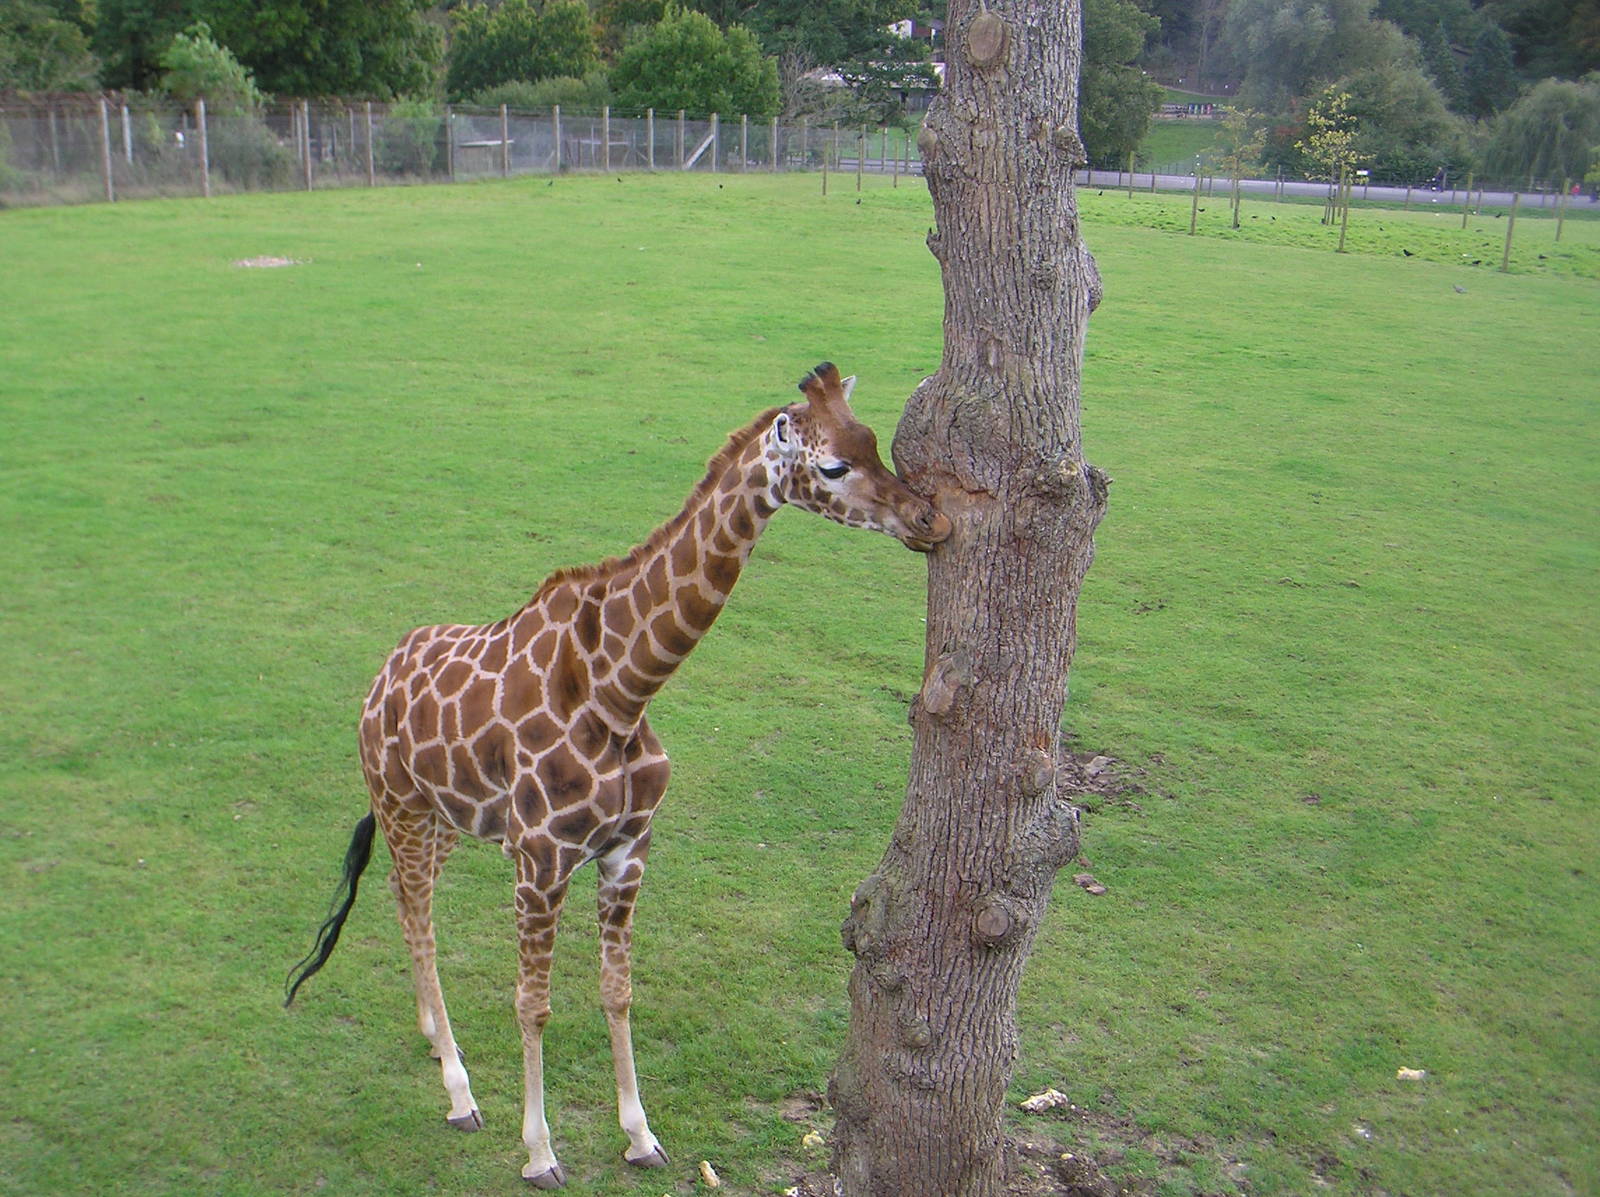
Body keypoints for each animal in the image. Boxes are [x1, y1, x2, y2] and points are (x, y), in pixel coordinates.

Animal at [285, 362, 951, 1188]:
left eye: (875, 442)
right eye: (833, 465)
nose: (930, 518)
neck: (623, 688)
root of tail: (377, 682)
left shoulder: (628, 847)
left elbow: (617, 990)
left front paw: (640, 1134)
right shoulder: (540, 858)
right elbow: (533, 1003)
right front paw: (539, 1150)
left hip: (443, 817)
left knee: (406, 902)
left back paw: (438, 1039)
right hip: (399, 802)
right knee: (418, 918)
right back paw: (459, 1088)